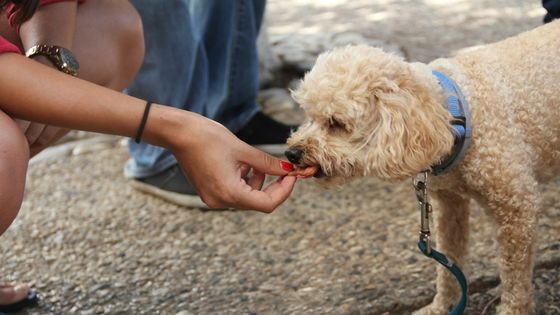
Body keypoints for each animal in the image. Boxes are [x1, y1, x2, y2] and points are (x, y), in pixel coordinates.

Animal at [286, 20, 556, 315]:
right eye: (308, 116)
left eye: (336, 123)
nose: (291, 153)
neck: (457, 114)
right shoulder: (449, 204)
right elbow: (449, 264)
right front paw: (441, 306)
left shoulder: (516, 209)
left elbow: (514, 276)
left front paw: (511, 309)